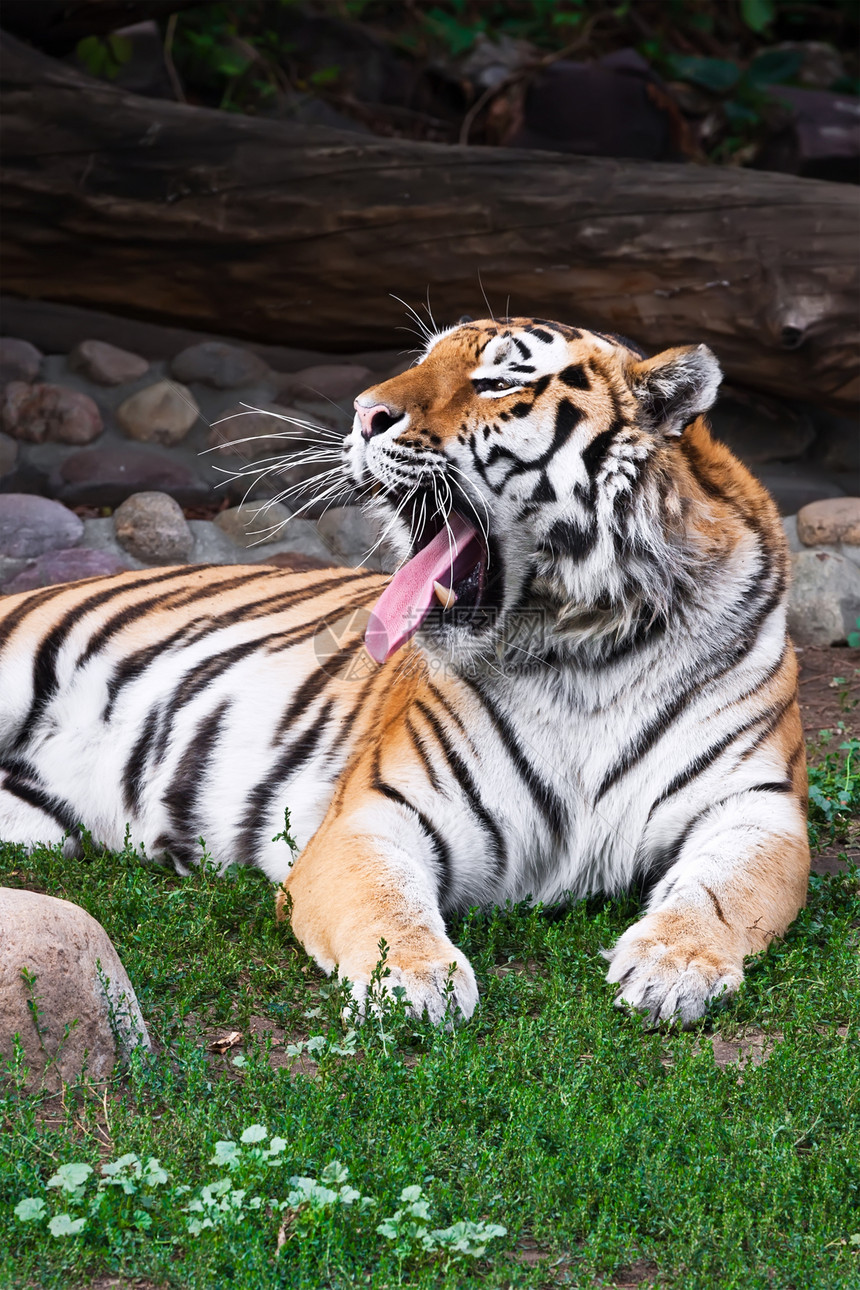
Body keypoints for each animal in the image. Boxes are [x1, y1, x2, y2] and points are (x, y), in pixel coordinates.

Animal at [0, 317, 809, 1021]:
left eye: (496, 381)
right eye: (422, 359)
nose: (364, 414)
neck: (584, 649)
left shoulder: (757, 807)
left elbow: (718, 894)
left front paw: (674, 967)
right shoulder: (372, 814)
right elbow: (386, 904)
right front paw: (415, 983)